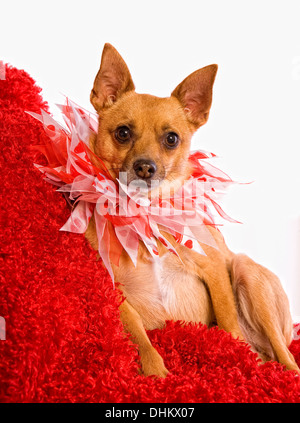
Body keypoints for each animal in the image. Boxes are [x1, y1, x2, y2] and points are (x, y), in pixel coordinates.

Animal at [85, 44, 300, 378]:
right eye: (122, 133)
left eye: (171, 139)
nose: (145, 167)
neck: (147, 213)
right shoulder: (113, 291)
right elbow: (138, 334)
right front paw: (155, 370)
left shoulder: (214, 270)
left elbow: (229, 325)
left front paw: (235, 356)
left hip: (247, 272)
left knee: (284, 353)